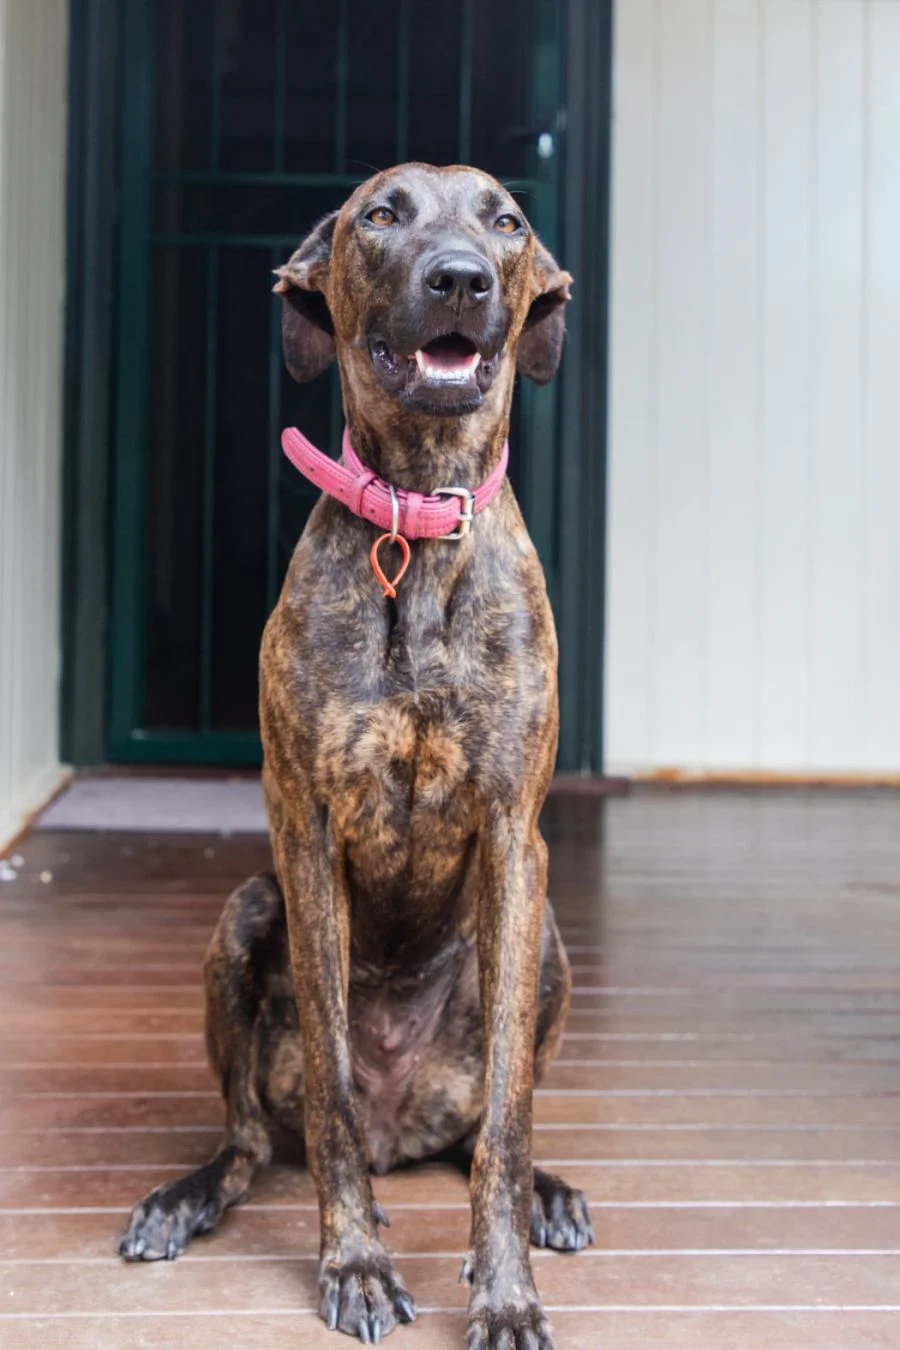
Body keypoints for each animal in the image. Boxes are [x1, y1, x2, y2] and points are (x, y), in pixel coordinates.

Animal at [123, 163, 593, 1344]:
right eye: (383, 214)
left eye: (505, 222)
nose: (463, 277)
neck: (416, 525)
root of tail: (403, 1129)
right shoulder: (308, 839)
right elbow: (333, 1086)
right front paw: (358, 1265)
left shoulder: (517, 843)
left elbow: (510, 1114)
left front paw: (507, 1288)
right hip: (245, 913)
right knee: (251, 1139)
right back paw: (187, 1195)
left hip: (551, 940)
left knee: (481, 1129)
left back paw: (547, 1193)